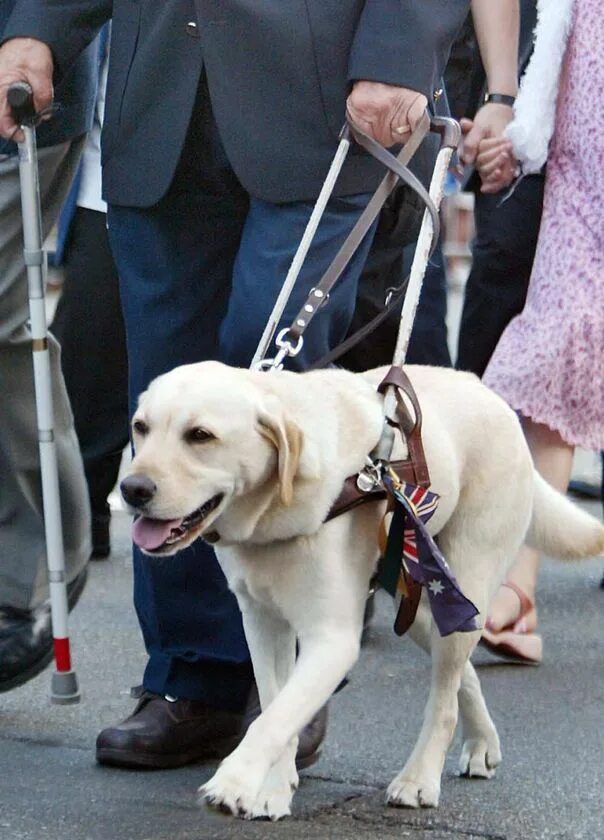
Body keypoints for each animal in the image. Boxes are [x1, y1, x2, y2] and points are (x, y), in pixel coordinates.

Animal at [119, 362, 604, 820]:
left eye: (200, 435)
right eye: (140, 427)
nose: (131, 489)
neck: (275, 509)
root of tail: (491, 395)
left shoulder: (332, 639)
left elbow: (273, 719)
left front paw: (235, 783)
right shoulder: (261, 622)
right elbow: (277, 705)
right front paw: (272, 791)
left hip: (464, 582)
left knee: (444, 698)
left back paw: (418, 779)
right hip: (421, 603)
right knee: (462, 673)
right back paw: (483, 741)